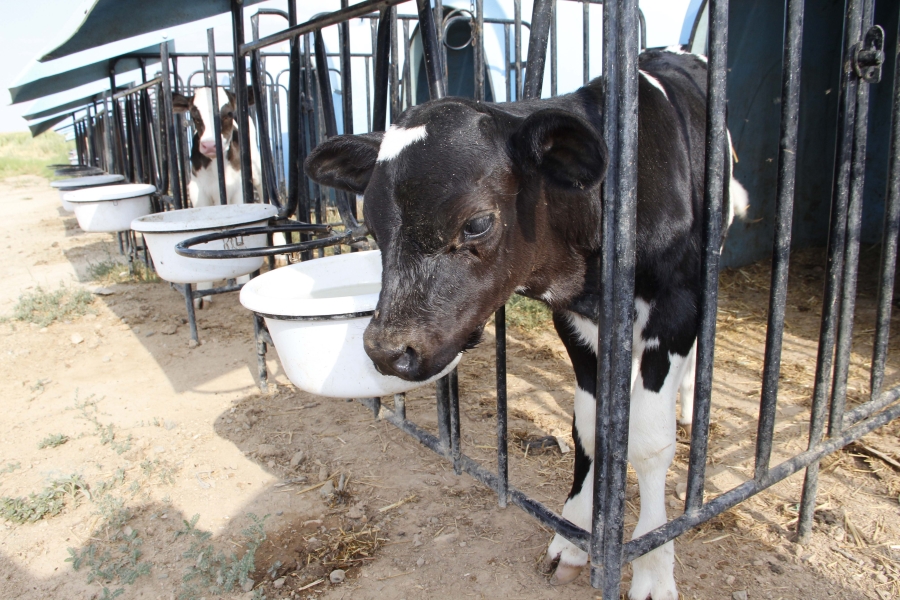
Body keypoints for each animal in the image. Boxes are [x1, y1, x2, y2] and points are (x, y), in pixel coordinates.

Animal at [306, 48, 748, 600]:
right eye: (372, 226)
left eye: (476, 224)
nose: (387, 351)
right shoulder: (574, 319)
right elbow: (590, 427)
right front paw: (576, 535)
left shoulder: (675, 308)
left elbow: (649, 443)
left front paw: (652, 568)